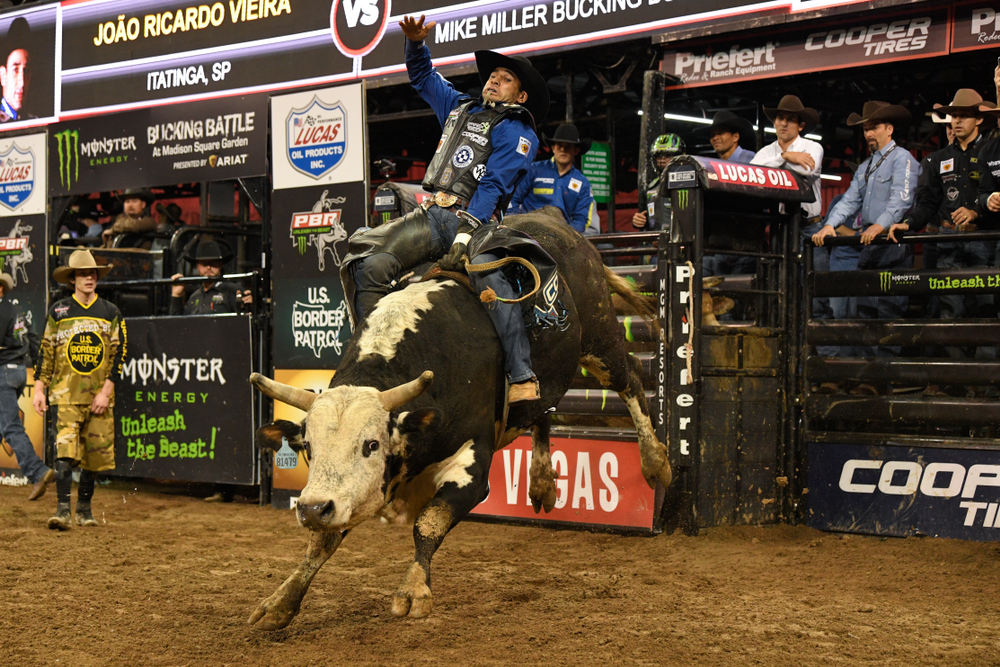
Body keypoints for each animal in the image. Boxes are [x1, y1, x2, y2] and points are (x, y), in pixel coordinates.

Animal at [248, 209, 672, 632]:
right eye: (308, 446)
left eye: (371, 444)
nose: (311, 509)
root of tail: (550, 218)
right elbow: (322, 542)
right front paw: (280, 601)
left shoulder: (472, 469)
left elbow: (429, 522)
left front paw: (413, 591)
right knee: (541, 409)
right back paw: (541, 484)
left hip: (600, 338)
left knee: (631, 379)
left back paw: (656, 463)